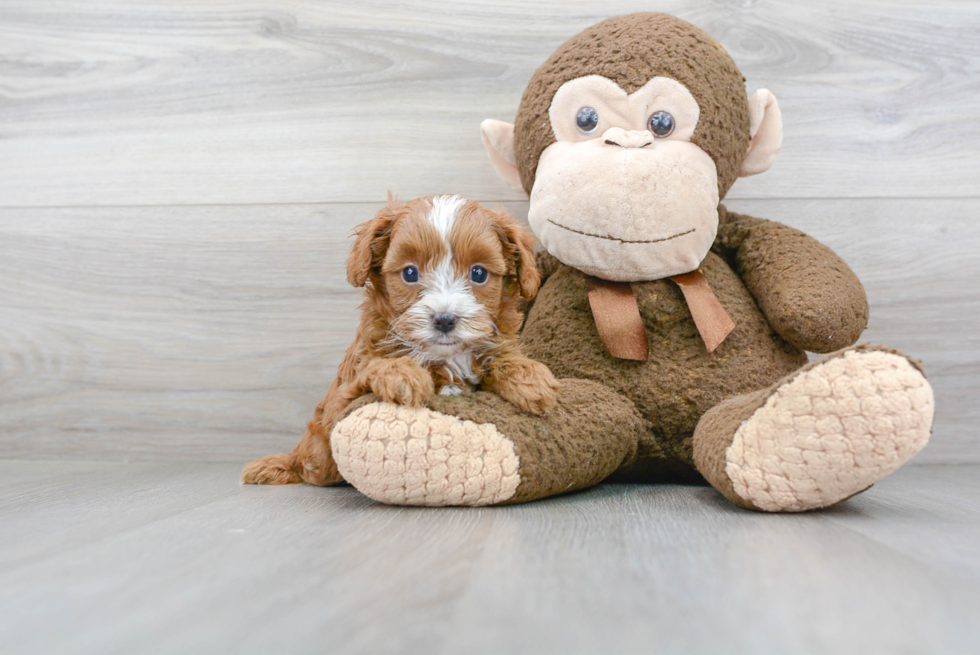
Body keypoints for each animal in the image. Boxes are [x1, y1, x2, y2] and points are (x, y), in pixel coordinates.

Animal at [240, 195, 556, 486]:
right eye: (410, 272)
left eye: (478, 273)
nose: (445, 319)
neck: (445, 358)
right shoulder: (344, 397)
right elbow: (375, 367)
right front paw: (403, 375)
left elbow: (501, 358)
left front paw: (531, 379)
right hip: (319, 453)